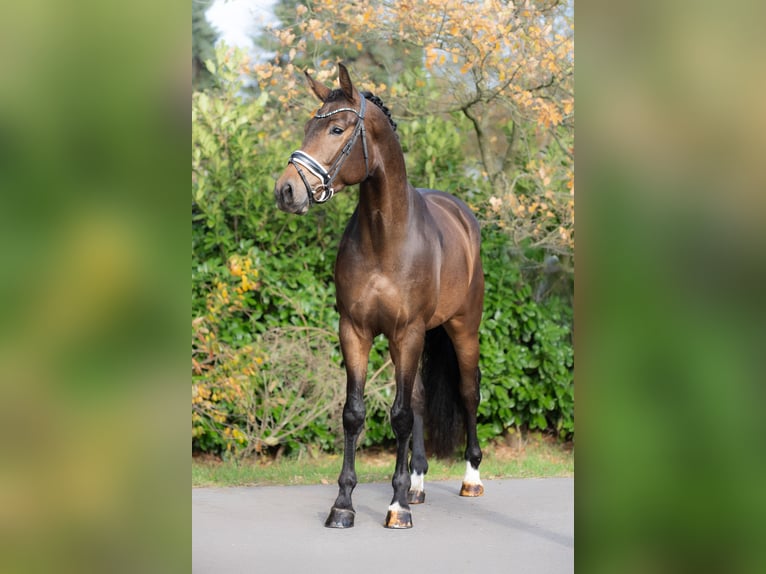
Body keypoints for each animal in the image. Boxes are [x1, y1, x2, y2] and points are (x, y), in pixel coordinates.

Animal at [274, 64, 485, 529]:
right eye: (308, 126)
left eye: (336, 128)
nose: (286, 191)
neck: (386, 237)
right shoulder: (355, 331)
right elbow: (356, 414)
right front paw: (343, 505)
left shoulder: (407, 332)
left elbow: (400, 416)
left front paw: (397, 506)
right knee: (420, 399)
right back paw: (419, 484)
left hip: (463, 329)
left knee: (467, 392)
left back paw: (470, 480)